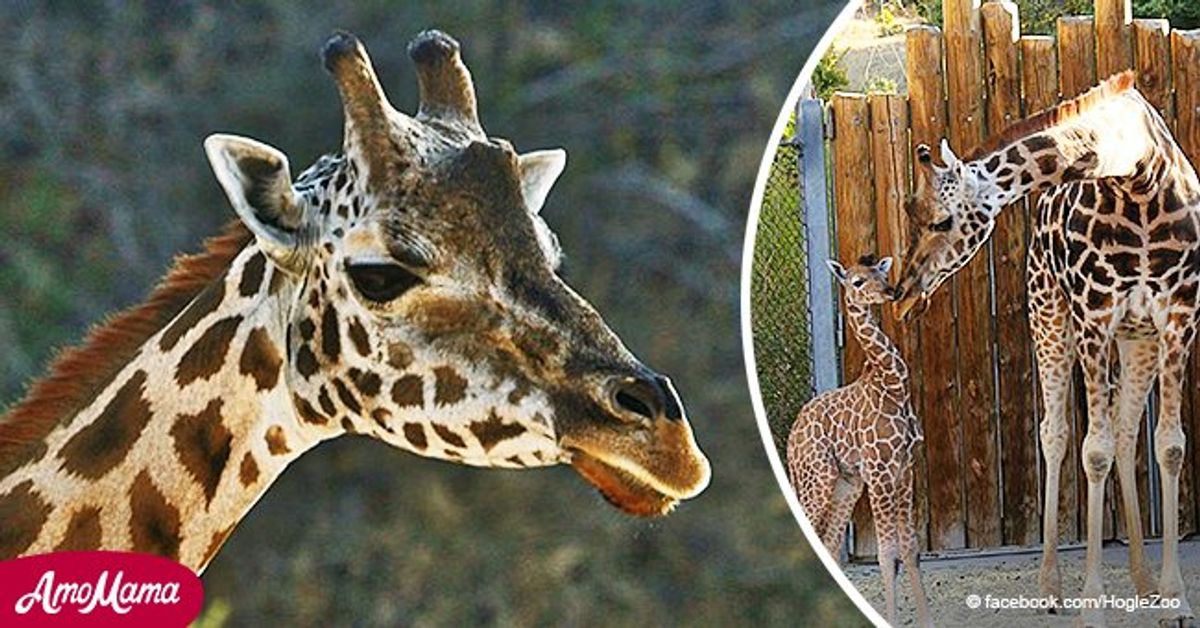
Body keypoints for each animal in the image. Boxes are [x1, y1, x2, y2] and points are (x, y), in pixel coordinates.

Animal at [787, 255, 932, 628]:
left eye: (880, 272)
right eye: (856, 281)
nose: (889, 291)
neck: (892, 385)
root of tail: (792, 439)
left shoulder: (905, 469)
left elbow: (910, 549)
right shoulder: (880, 472)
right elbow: (886, 553)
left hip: (846, 485)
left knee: (828, 541)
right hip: (818, 478)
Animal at [893, 70, 1200, 626]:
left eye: (941, 221)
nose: (902, 294)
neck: (1138, 175)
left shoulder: (1179, 316)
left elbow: (1167, 446)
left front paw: (1176, 599)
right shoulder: (1093, 312)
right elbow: (1092, 451)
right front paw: (1092, 607)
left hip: (1137, 339)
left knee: (1125, 431)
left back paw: (1144, 583)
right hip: (1049, 315)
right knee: (1055, 433)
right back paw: (1051, 586)